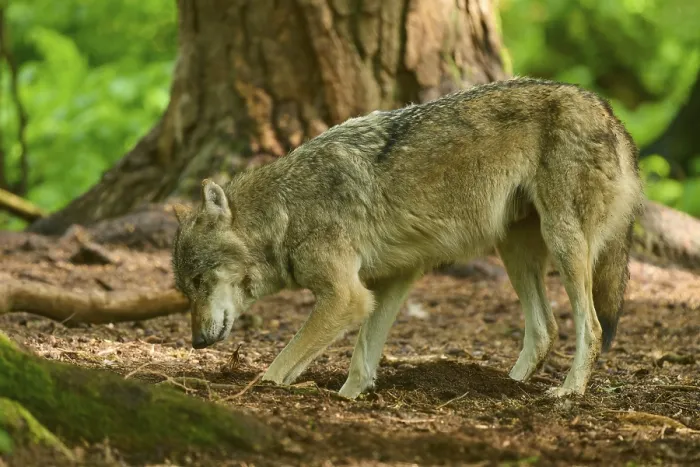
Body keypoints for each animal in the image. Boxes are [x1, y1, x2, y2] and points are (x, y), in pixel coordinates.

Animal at [171, 77, 644, 399]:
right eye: (185, 290)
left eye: (199, 281)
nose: (196, 343)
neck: (287, 211)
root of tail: (608, 111)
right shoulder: (392, 281)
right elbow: (363, 355)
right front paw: (349, 398)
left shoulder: (347, 297)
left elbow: (280, 363)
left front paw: (262, 390)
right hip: (513, 249)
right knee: (545, 329)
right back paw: (500, 385)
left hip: (563, 243)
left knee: (592, 327)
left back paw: (568, 391)